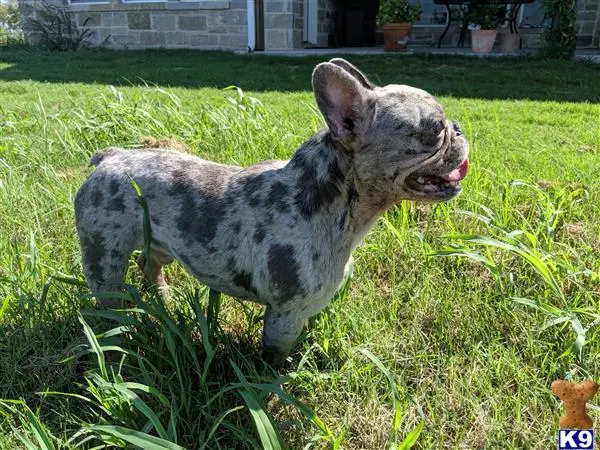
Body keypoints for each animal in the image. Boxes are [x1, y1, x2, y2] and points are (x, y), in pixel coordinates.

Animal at [75, 57, 468, 366]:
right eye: (434, 129)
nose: (459, 128)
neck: (334, 200)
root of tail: (110, 158)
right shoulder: (285, 315)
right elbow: (275, 356)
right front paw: (279, 376)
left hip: (160, 245)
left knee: (150, 263)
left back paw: (162, 297)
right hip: (105, 258)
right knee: (108, 298)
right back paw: (119, 333)